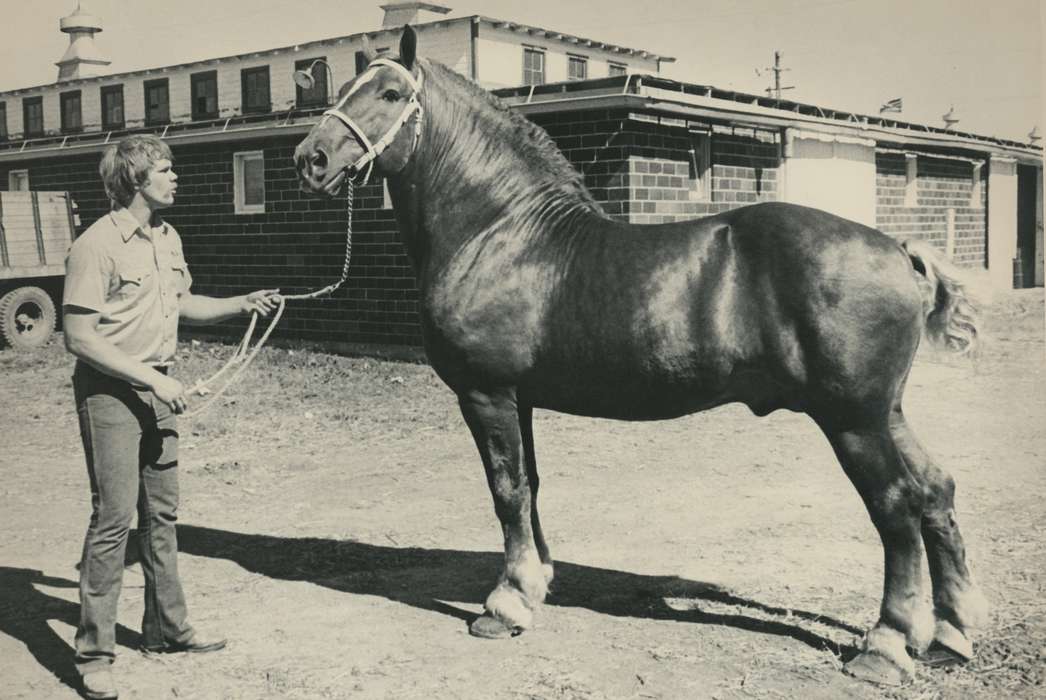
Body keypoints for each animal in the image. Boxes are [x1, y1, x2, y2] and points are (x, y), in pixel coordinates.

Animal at [294, 26, 988, 685]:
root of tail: (899, 249)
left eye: (389, 94)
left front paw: (506, 603)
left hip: (852, 420)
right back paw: (951, 634)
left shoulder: (486, 394)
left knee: (896, 505)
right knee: (935, 489)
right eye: (344, 87)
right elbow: (531, 486)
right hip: (885, 413)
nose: (311, 158)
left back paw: (888, 646)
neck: (498, 232)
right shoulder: (520, 400)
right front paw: (536, 584)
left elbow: (507, 491)